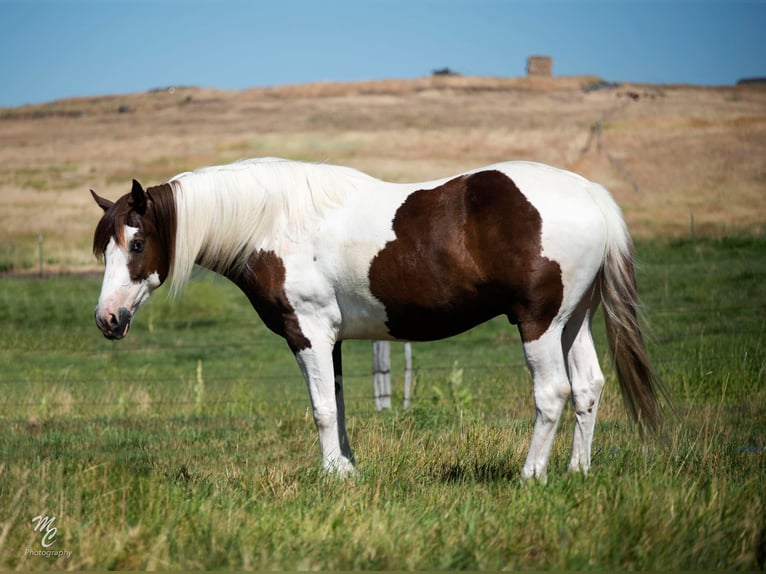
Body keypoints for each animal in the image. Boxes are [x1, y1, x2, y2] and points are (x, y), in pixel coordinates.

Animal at [91, 158, 672, 482]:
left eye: (137, 243)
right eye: (106, 249)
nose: (108, 319)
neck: (275, 221)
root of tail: (590, 194)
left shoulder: (307, 332)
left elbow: (322, 410)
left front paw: (331, 478)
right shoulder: (332, 340)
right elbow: (339, 405)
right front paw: (347, 470)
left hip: (539, 323)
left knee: (553, 393)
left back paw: (531, 476)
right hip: (574, 320)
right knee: (588, 388)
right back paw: (577, 471)